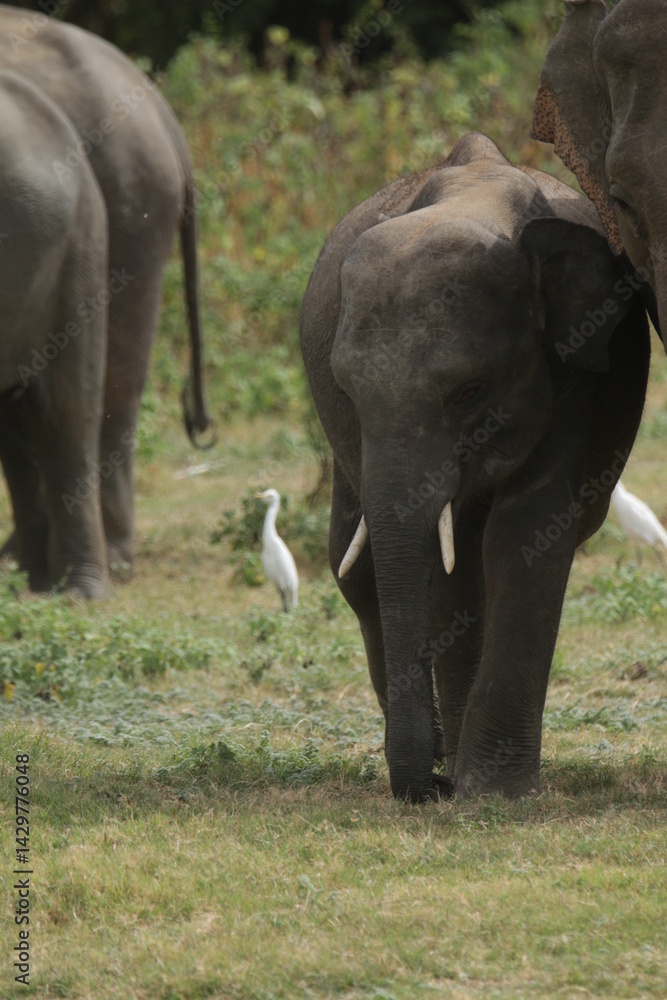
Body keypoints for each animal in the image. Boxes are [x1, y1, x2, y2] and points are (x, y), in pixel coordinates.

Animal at [300, 132, 650, 801]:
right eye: (346, 393)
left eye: (469, 392)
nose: (431, 786)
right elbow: (446, 556)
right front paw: (469, 783)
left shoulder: (568, 368)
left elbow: (524, 530)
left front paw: (493, 792)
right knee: (357, 568)